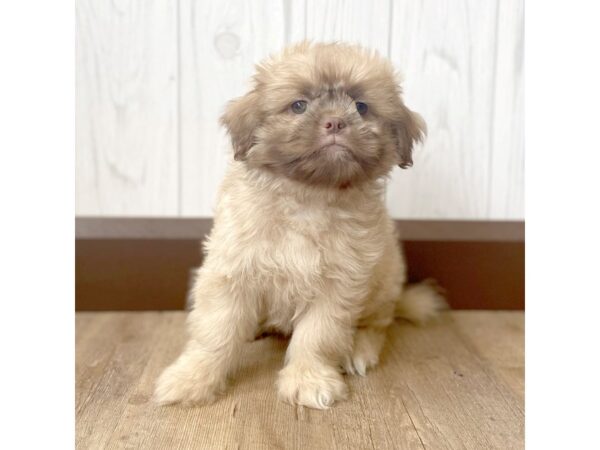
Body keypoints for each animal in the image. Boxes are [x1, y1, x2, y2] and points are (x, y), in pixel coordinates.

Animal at [155, 42, 446, 412]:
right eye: (299, 105)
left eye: (361, 107)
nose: (335, 122)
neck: (308, 198)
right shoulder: (231, 274)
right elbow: (214, 331)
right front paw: (192, 378)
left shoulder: (338, 285)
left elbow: (319, 336)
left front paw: (309, 379)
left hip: (383, 283)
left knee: (377, 324)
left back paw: (358, 350)